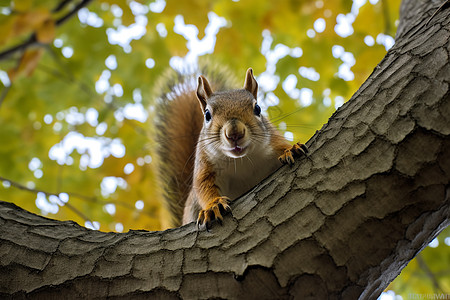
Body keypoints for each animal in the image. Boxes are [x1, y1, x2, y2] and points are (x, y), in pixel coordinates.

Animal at [154, 67, 306, 229]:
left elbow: (282, 146)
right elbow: (203, 187)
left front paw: (291, 150)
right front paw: (213, 206)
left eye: (258, 108)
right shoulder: (206, 165)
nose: (235, 133)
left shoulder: (273, 141)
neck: (242, 161)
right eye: (207, 115)